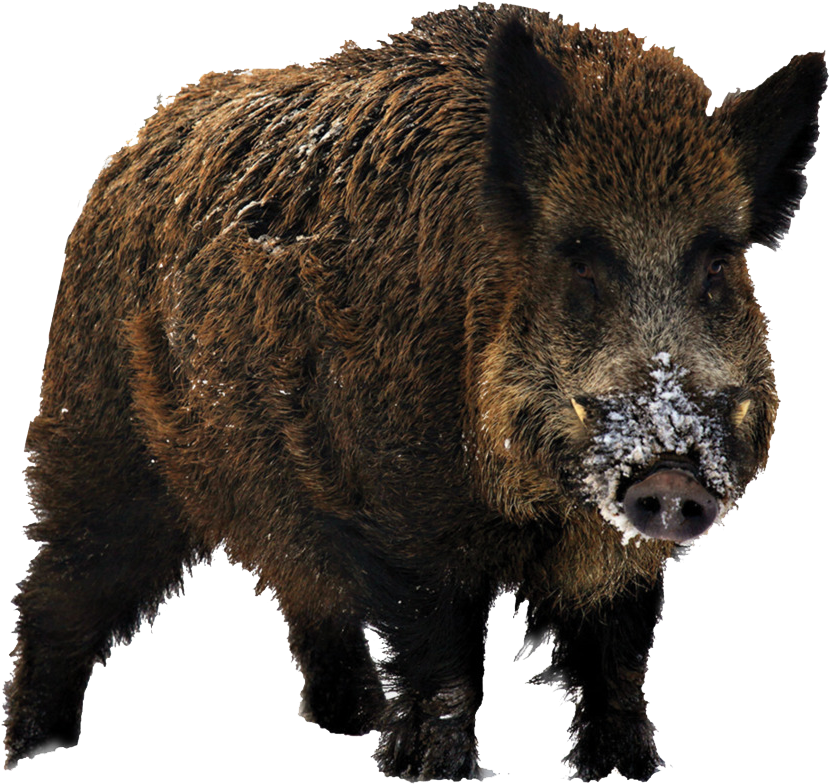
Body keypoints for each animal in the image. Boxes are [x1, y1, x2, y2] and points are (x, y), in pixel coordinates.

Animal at [4, 3, 825, 780]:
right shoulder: (404, 508)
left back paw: (350, 721)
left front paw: (627, 769)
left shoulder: (612, 550)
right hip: (104, 440)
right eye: (579, 259)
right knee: (59, 591)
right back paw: (35, 746)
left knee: (306, 589)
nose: (670, 477)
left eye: (716, 261)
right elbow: (441, 657)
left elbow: (616, 656)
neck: (540, 500)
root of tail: (131, 151)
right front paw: (432, 771)